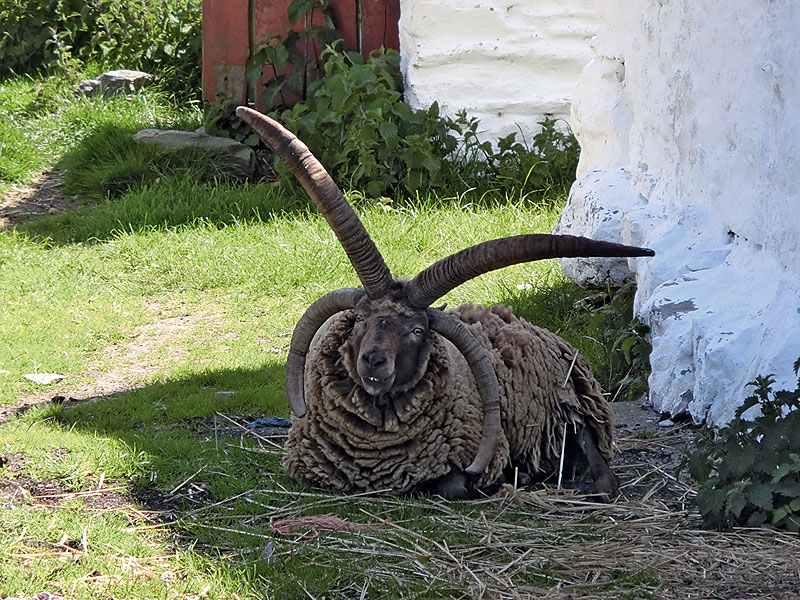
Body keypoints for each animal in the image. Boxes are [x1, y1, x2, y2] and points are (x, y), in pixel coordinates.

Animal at [236, 106, 654, 500]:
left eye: (417, 330)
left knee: (603, 473)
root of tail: (523, 322)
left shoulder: (478, 457)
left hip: (574, 412)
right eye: (359, 319)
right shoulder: (306, 466)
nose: (373, 361)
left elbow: (451, 485)